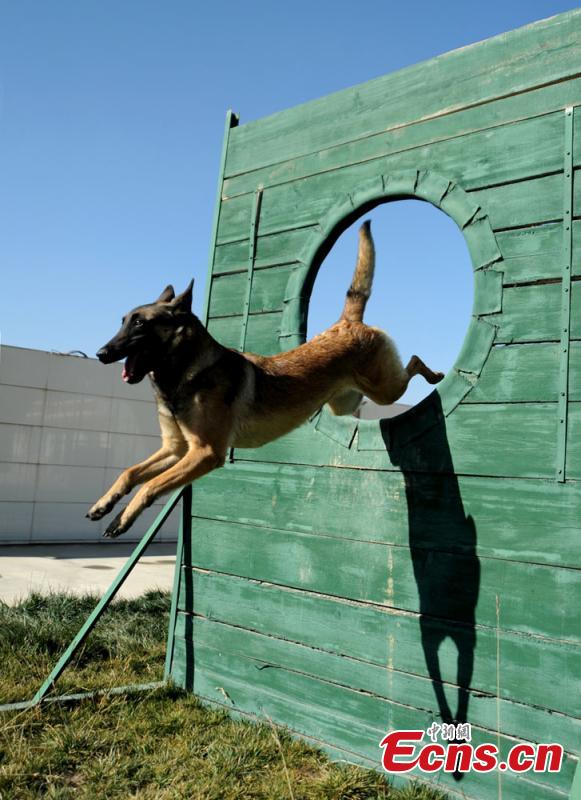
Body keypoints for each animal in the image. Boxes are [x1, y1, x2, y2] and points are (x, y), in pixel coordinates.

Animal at [89, 222, 444, 536]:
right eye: (123, 321)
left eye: (140, 324)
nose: (101, 353)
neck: (186, 371)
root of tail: (346, 323)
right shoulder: (176, 449)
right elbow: (130, 473)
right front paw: (104, 504)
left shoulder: (204, 452)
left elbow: (149, 484)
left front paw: (122, 519)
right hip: (344, 403)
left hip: (385, 387)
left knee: (413, 363)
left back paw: (435, 374)